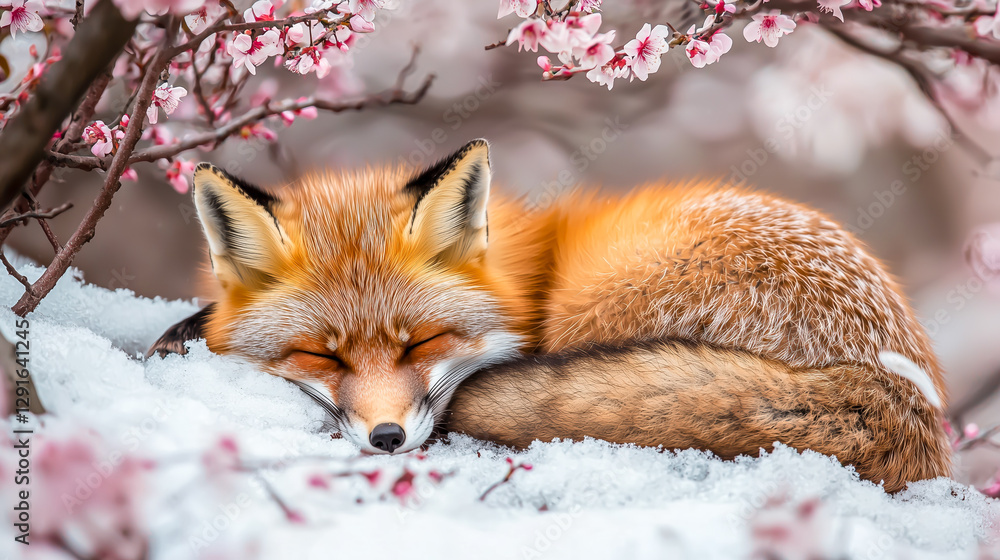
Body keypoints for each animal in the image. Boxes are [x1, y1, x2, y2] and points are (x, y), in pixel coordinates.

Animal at [149, 139, 951, 493]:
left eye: (423, 343)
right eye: (323, 355)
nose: (386, 438)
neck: (525, 277)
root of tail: (897, 389)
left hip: (608, 295)